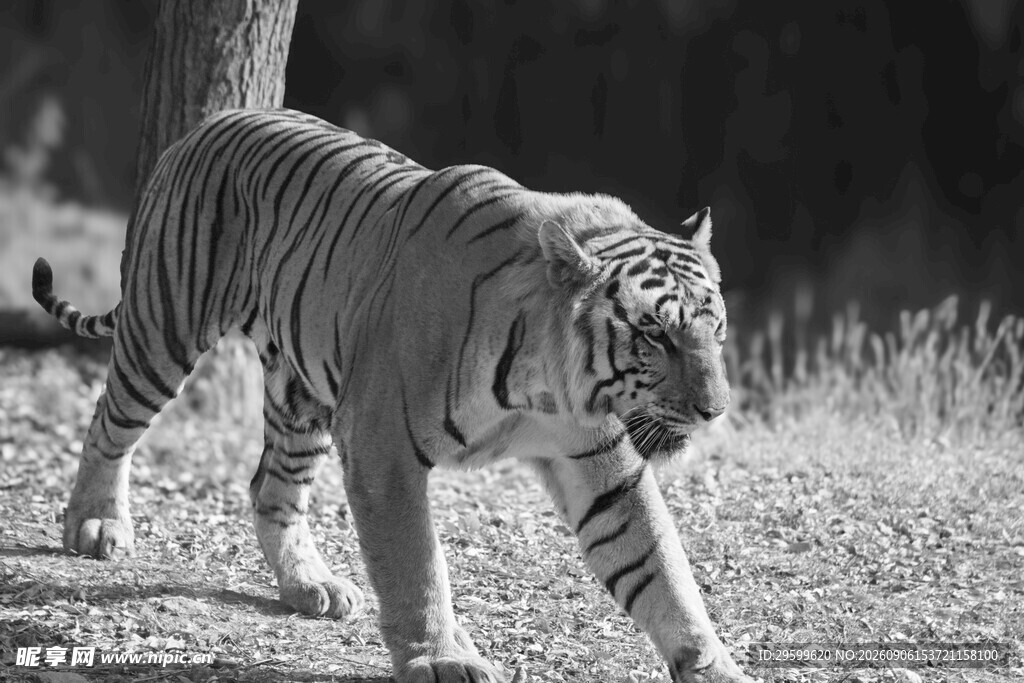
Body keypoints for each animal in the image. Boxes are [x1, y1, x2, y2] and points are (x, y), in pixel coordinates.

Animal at [32, 108, 751, 683]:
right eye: (654, 333)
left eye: (716, 329)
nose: (715, 410)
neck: (545, 385)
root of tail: (210, 120)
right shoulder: (384, 448)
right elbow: (415, 563)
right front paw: (441, 658)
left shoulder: (601, 462)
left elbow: (659, 567)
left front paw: (713, 665)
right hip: (165, 329)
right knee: (109, 424)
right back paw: (95, 524)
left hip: (301, 396)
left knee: (271, 487)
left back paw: (310, 585)